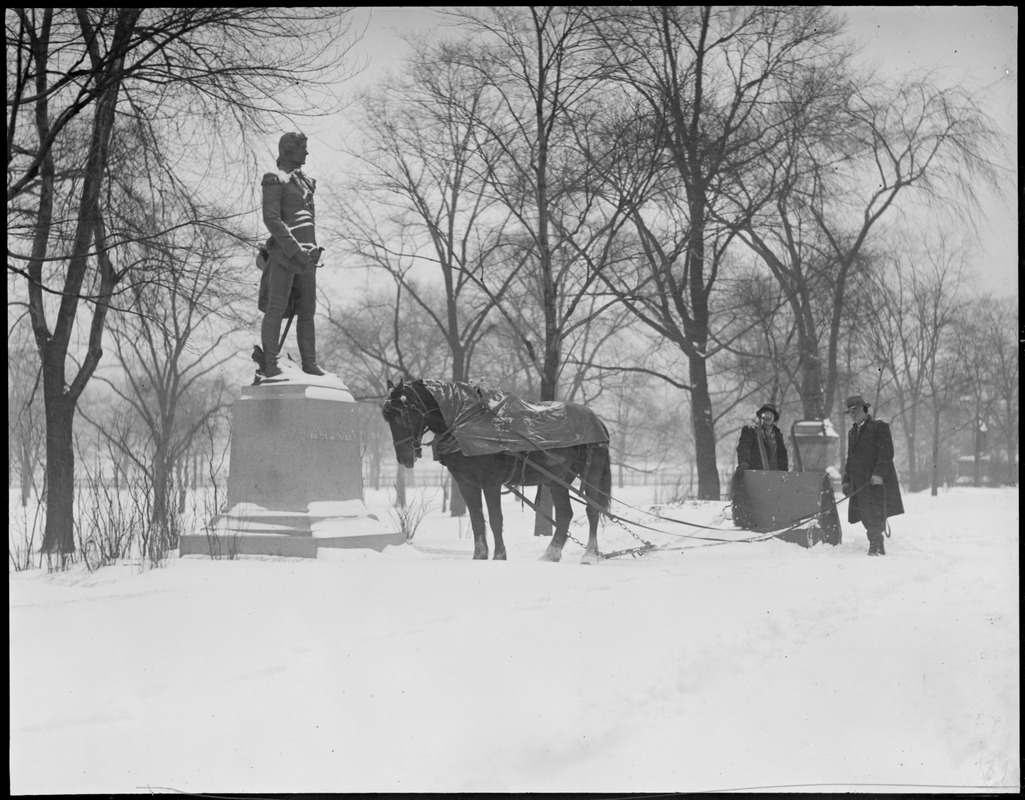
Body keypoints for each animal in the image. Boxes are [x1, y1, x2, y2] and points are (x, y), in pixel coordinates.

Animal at [383, 379, 606, 562]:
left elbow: (495, 518)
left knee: (593, 510)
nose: (404, 458)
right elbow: (476, 518)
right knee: (565, 514)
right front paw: (480, 555)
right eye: (387, 418)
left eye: (401, 415)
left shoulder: (491, 482)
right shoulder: (466, 483)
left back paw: (589, 555)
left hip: (591, 473)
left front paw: (499, 555)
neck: (464, 422)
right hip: (558, 479)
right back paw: (551, 554)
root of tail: (597, 420)